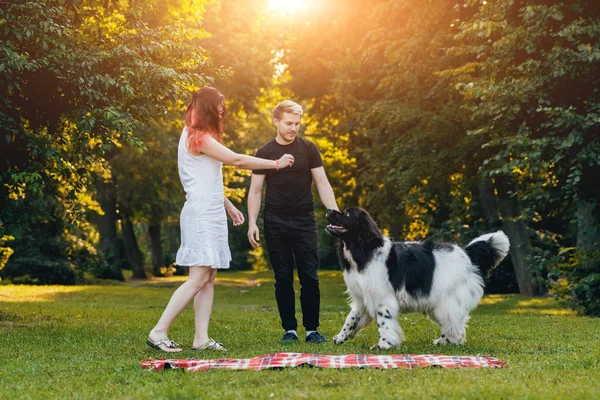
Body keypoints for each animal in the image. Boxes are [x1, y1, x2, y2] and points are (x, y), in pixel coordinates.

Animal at [326, 208, 508, 348]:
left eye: (347, 214)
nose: (328, 210)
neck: (365, 248)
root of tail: (468, 253)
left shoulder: (382, 299)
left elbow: (384, 323)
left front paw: (384, 344)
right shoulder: (362, 298)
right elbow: (351, 319)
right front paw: (340, 337)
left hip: (446, 303)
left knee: (455, 327)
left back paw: (449, 343)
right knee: (452, 326)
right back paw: (441, 342)